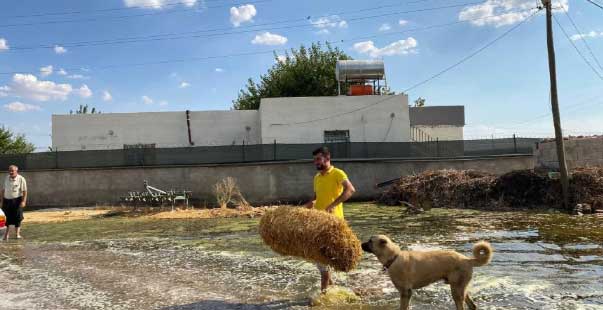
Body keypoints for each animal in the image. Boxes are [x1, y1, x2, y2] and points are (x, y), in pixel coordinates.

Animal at [360, 235, 494, 310]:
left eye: (370, 241)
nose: (361, 244)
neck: (394, 257)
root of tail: (467, 259)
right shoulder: (406, 293)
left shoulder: (405, 292)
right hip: (460, 288)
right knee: (472, 305)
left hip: (456, 290)